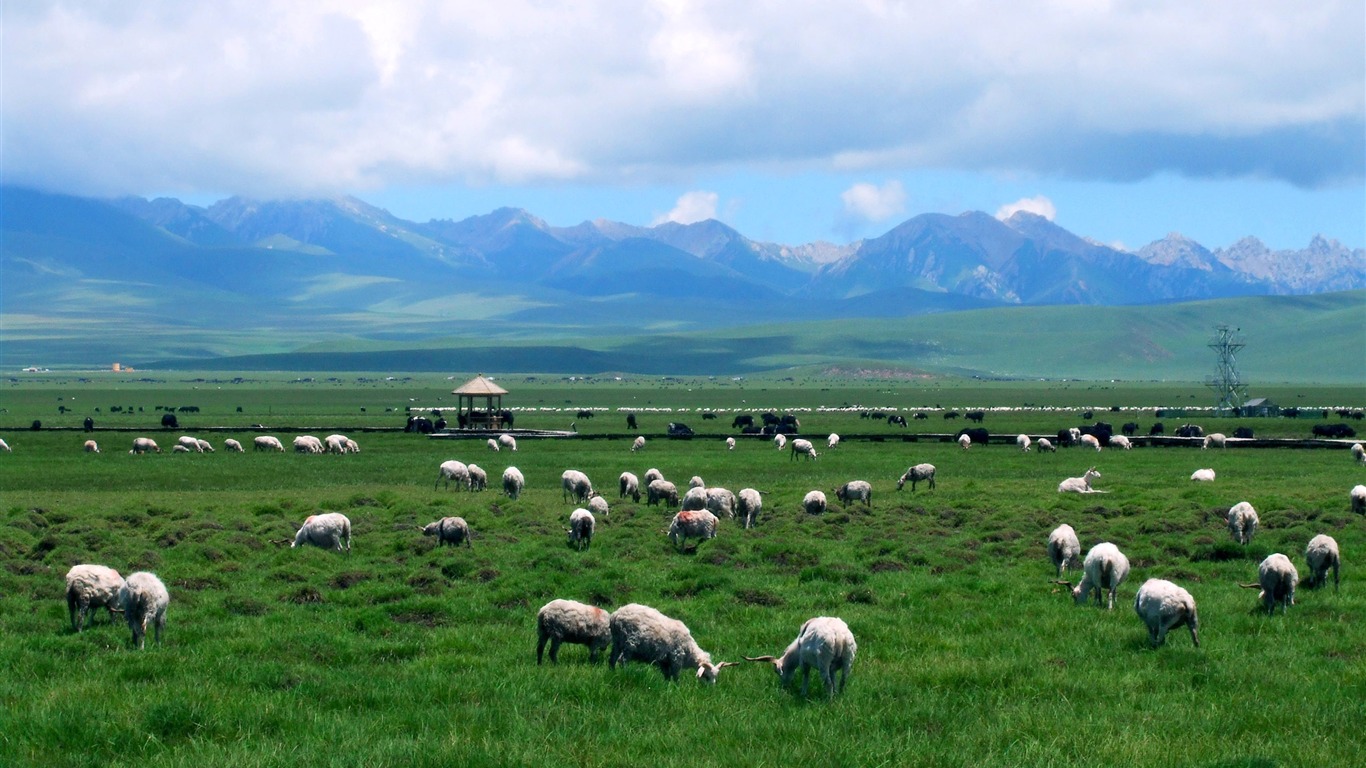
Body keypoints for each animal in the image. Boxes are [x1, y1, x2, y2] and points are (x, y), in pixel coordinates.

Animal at [609, 598, 737, 680]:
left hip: (617, 641)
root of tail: (616, 615)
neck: (689, 650)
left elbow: (667, 677)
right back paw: (624, 674)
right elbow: (675, 678)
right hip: (629, 643)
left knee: (612, 659)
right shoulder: (676, 659)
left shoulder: (664, 663)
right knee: (622, 660)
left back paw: (612, 673)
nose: (709, 691)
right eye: (706, 676)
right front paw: (676, 689)